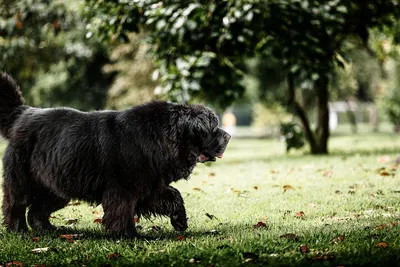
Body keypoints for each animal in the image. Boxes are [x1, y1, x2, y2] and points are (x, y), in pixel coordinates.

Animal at [0, 72, 230, 238]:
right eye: (213, 128)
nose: (228, 136)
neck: (159, 138)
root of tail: (22, 112)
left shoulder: (149, 184)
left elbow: (173, 196)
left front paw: (180, 221)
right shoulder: (122, 188)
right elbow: (122, 211)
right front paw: (127, 235)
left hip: (57, 185)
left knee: (38, 209)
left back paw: (48, 229)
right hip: (23, 179)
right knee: (16, 203)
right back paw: (17, 230)